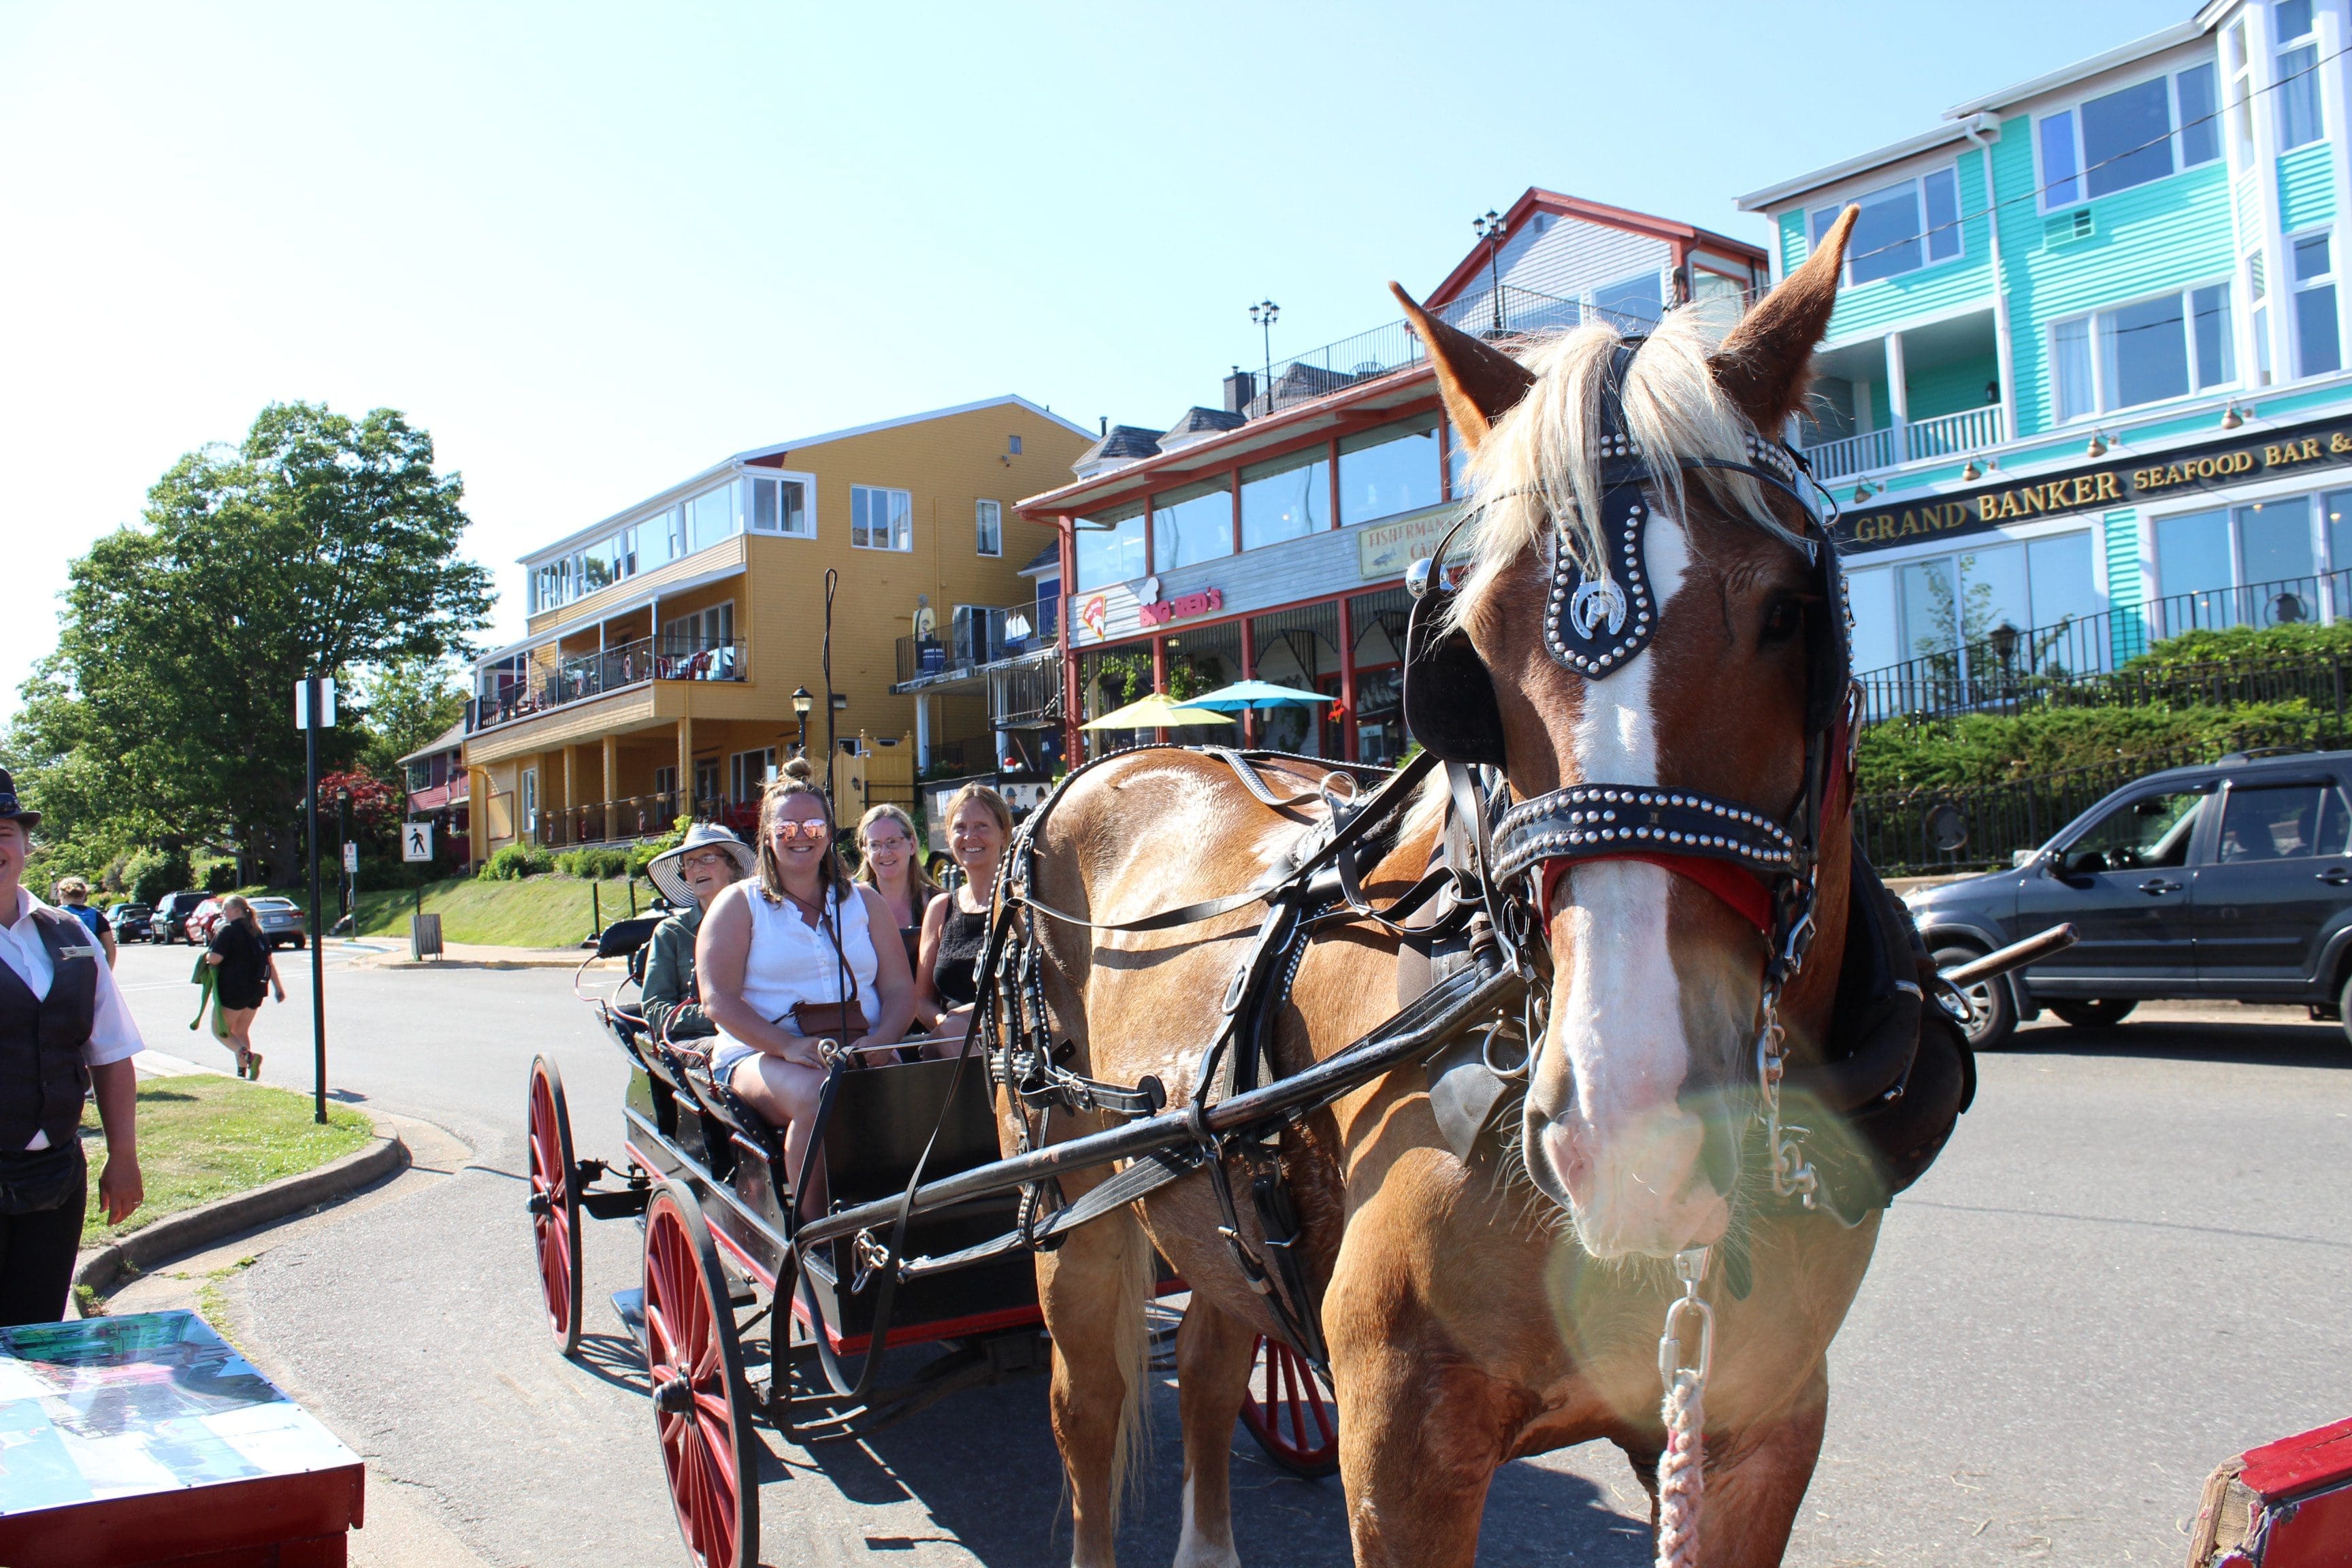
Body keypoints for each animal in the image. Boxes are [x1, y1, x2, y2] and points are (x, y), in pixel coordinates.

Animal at [1002, 211, 1957, 1568]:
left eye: (1789, 612)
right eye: (1474, 650)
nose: (1631, 1117)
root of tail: (1114, 758)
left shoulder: (1753, 1433)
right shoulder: (1400, 1445)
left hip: (1207, 1204)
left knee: (1216, 1349)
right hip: (1073, 1207)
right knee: (1086, 1418)